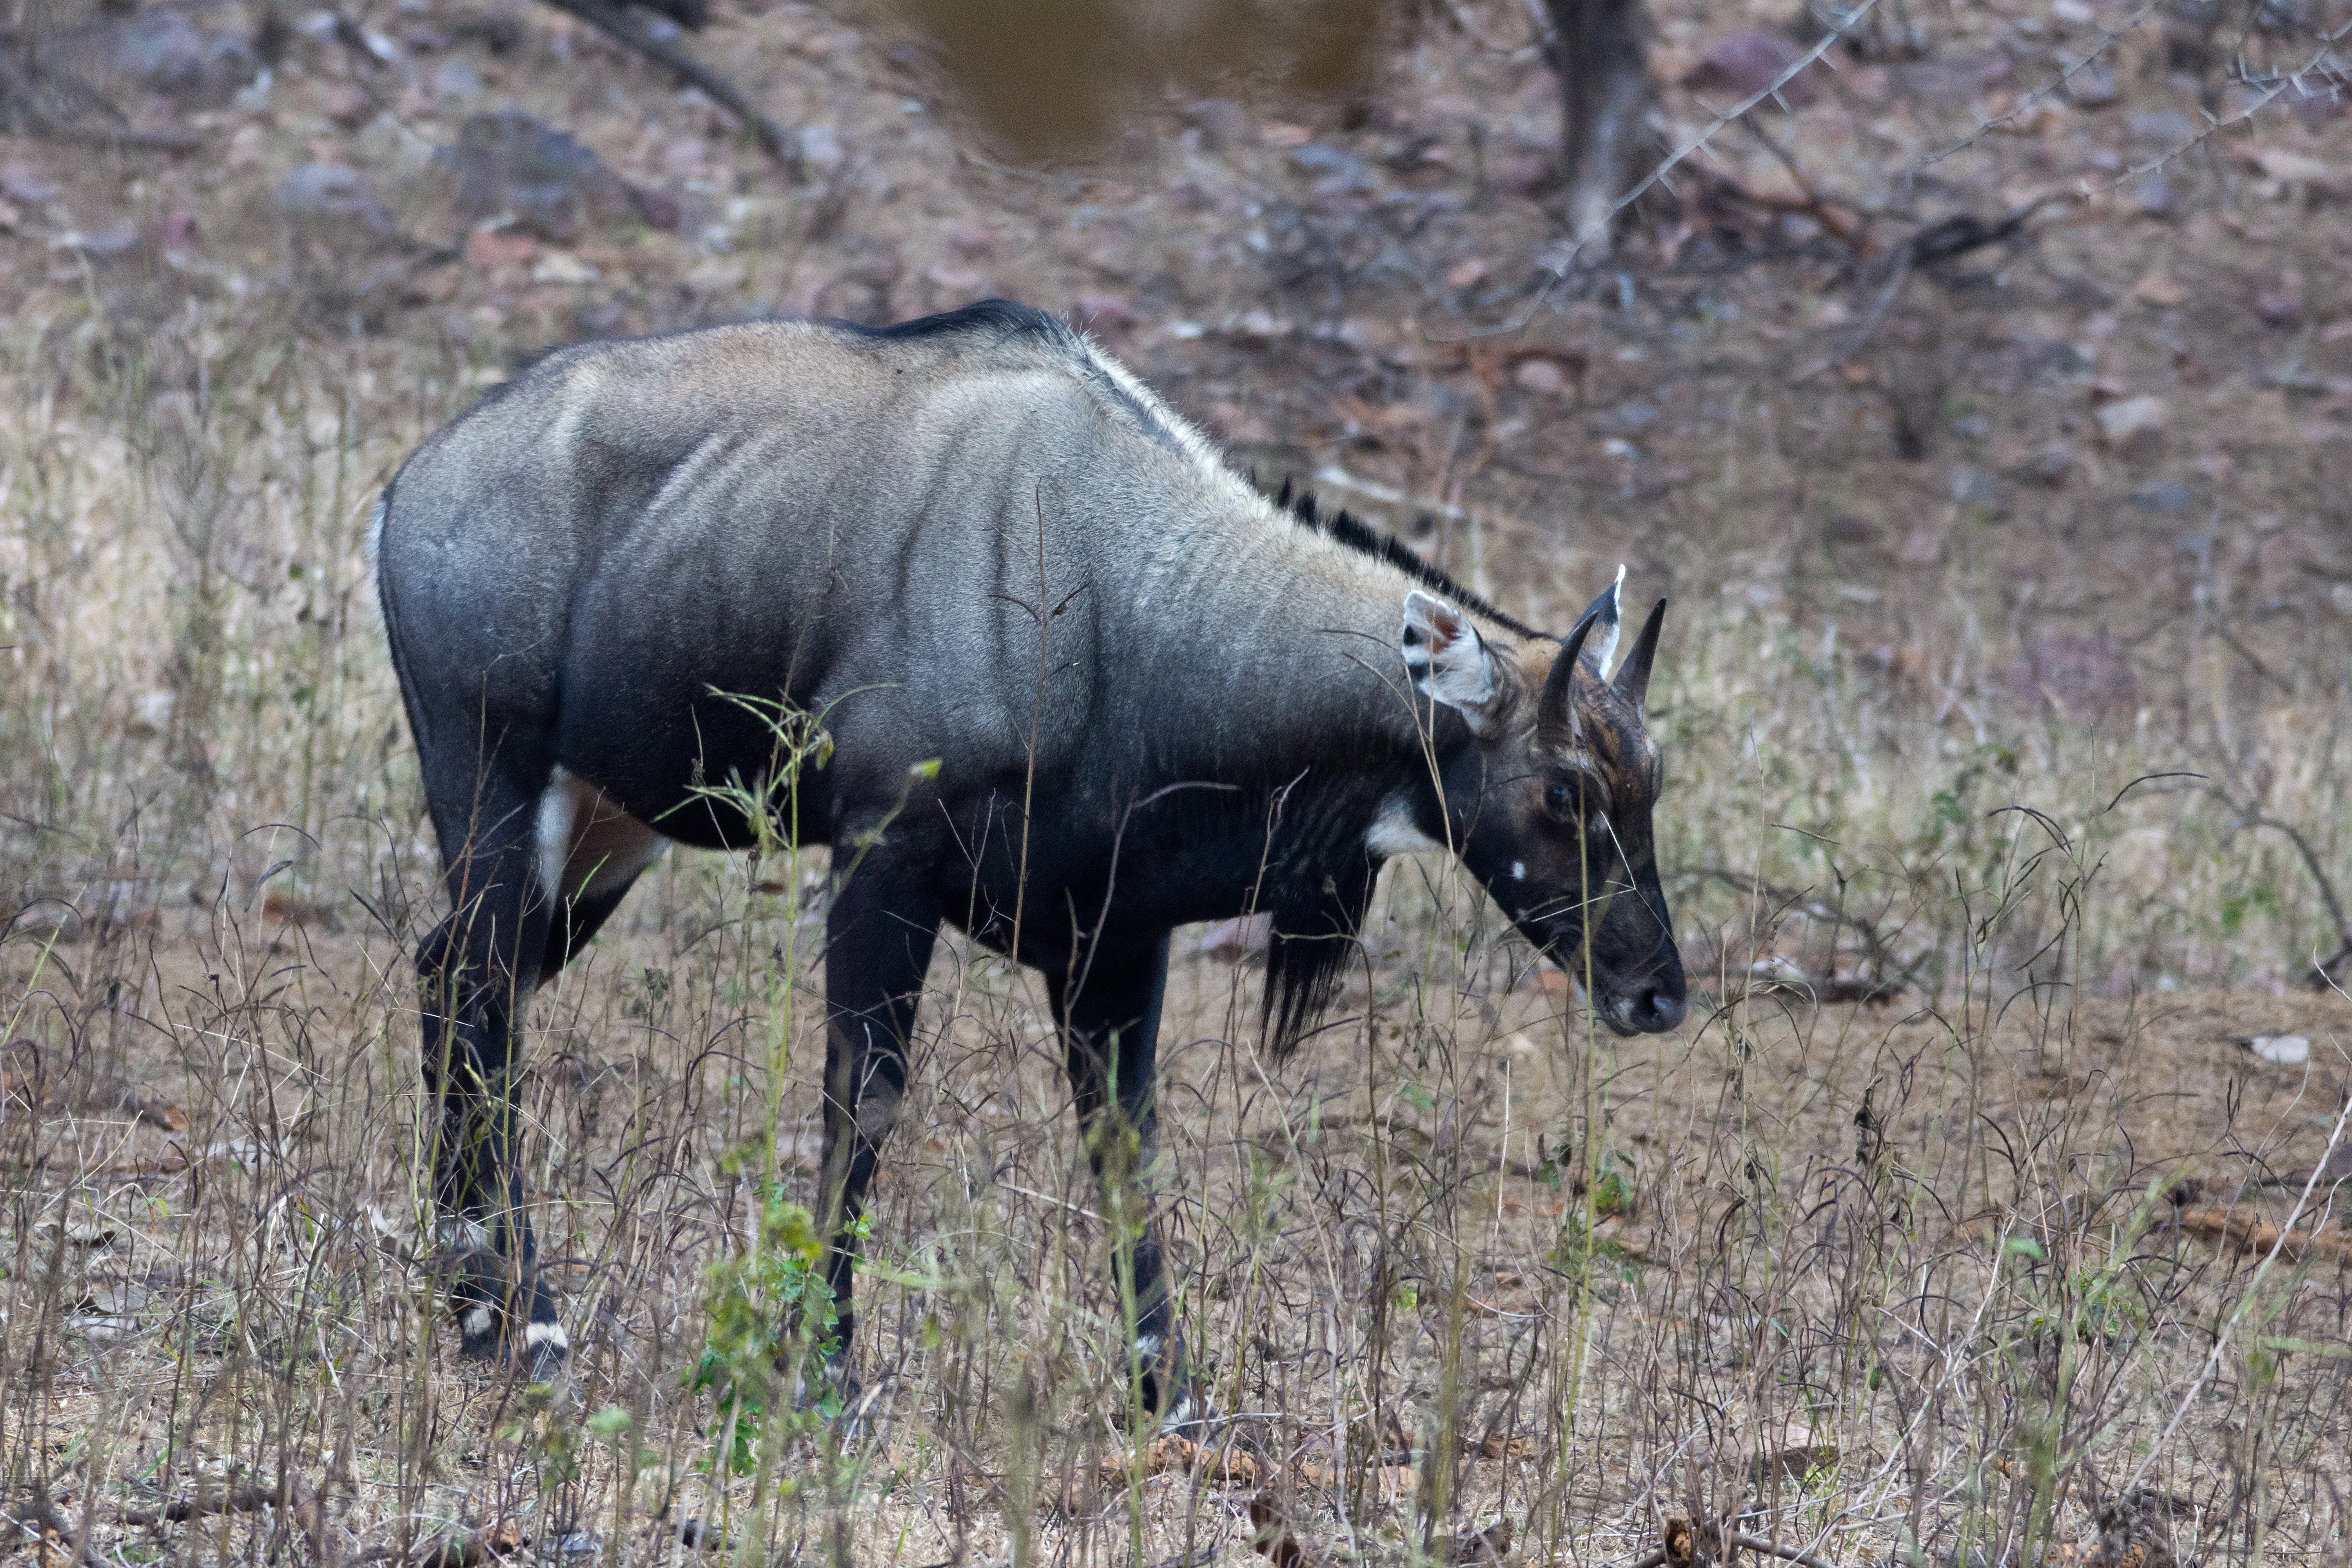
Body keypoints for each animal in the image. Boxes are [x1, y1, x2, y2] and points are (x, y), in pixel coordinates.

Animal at [371, 300, 1686, 1426]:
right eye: (1562, 790)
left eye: (1653, 778)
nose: (1658, 995)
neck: (1113, 591)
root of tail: (409, 487)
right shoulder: (881, 865)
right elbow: (861, 1102)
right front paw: (823, 1375)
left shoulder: (1112, 944)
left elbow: (1125, 1146)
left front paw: (1171, 1397)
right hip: (494, 795)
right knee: (481, 1007)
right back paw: (526, 1324)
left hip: (600, 837)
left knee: (453, 984)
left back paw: (476, 1313)